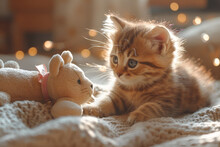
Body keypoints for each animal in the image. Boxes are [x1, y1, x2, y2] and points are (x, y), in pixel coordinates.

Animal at [82, 14, 213, 124]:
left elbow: (151, 106)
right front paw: (92, 108)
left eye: (132, 63)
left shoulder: (168, 102)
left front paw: (137, 115)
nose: (117, 74)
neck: (135, 87)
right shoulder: (116, 96)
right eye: (115, 59)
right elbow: (105, 100)